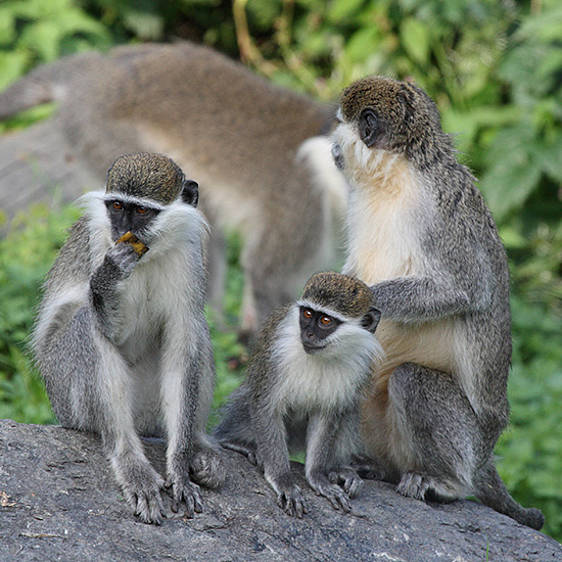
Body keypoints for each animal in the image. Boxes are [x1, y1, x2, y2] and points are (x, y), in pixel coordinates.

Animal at [31, 152, 222, 520]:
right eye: (117, 206)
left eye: (143, 211)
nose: (121, 231)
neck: (148, 255)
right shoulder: (98, 241)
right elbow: (112, 331)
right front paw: (109, 275)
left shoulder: (191, 252)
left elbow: (182, 346)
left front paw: (179, 467)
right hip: (66, 401)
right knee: (87, 324)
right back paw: (131, 464)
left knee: (196, 333)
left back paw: (199, 446)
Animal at [212, 272, 382, 516]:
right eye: (307, 313)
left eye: (326, 321)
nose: (308, 334)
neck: (322, 355)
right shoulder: (276, 354)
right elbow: (266, 406)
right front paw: (283, 480)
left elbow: (327, 415)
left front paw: (318, 476)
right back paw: (237, 442)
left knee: (349, 409)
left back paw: (338, 468)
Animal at [328, 76, 544, 528]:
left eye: (340, 122)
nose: (332, 145)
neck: (396, 177)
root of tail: (484, 458)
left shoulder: (441, 210)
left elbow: (466, 290)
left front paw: (366, 300)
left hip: (469, 443)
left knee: (413, 380)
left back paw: (445, 483)